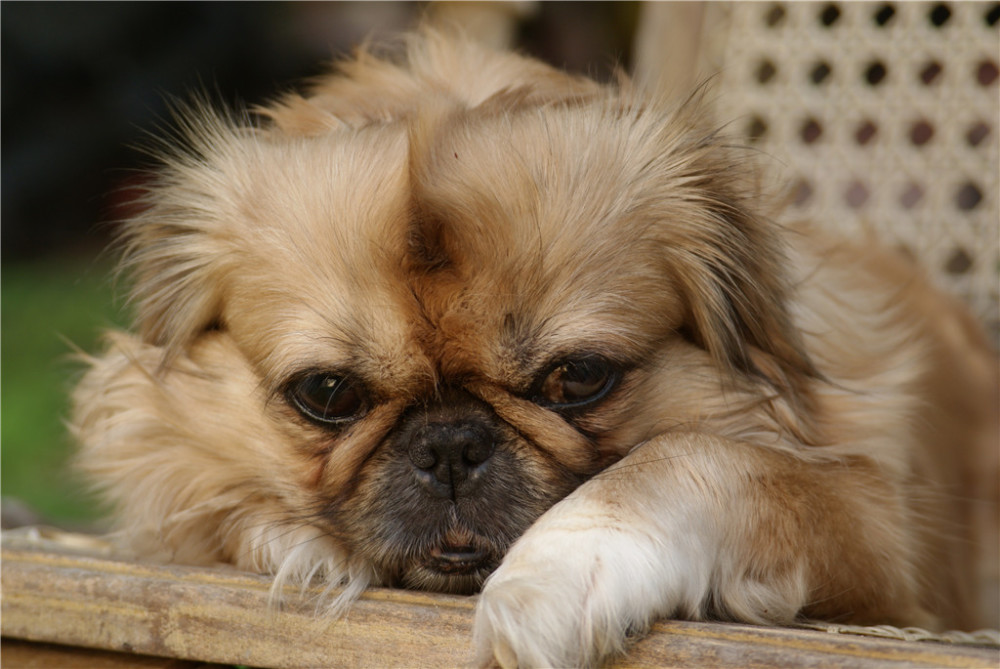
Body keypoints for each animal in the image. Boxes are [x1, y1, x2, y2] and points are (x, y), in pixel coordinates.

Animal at [72, 28, 1000, 664]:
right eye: (328, 392)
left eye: (577, 377)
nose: (450, 443)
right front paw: (298, 540)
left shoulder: (884, 534)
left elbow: (698, 457)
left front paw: (554, 571)